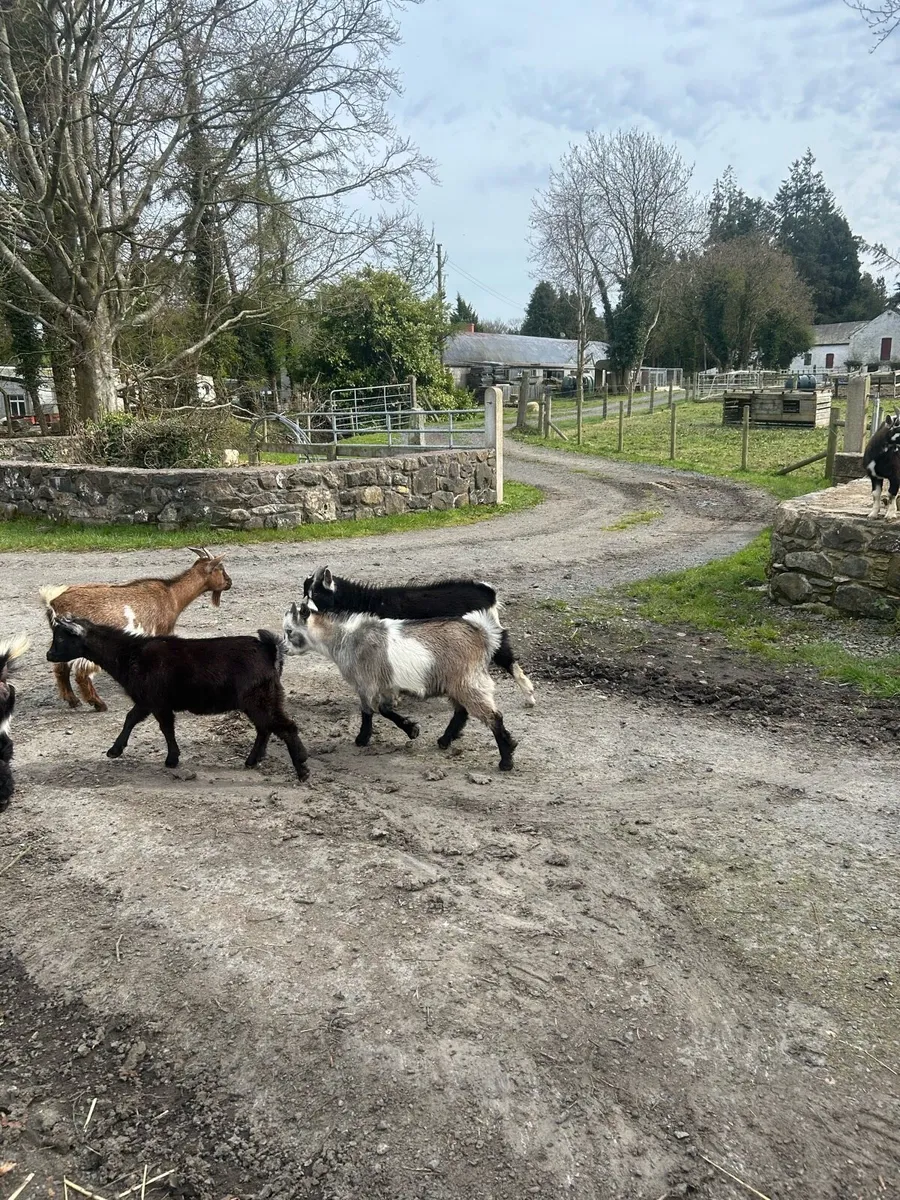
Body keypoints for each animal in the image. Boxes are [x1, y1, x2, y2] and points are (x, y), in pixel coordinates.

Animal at [40, 547, 232, 712]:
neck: (172, 595)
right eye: (220, 568)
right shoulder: (161, 630)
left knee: (61, 668)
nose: (229, 582)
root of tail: (54, 602)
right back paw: (98, 704)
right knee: (80, 674)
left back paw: (73, 700)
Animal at [46, 618, 308, 781]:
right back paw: (253, 760)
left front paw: (171, 758)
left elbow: (165, 728)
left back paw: (302, 768)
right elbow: (131, 719)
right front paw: (115, 750)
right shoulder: (147, 700)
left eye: (61, 639)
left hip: (260, 697)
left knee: (285, 727)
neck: (130, 653)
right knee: (265, 728)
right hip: (258, 700)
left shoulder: (157, 701)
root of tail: (270, 651)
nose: (49, 655)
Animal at [283, 602, 518, 771]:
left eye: (289, 630)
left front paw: (362, 739)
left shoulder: (366, 683)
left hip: (467, 681)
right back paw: (444, 740)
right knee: (461, 711)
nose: (283, 649)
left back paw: (506, 759)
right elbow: (385, 709)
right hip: (457, 682)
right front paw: (411, 729)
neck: (346, 638)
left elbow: (369, 710)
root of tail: (481, 633)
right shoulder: (387, 686)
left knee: (492, 716)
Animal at [302, 566, 535, 708]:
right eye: (305, 593)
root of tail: (487, 593)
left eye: (317, 594)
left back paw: (529, 695)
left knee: (508, 660)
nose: (304, 609)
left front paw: (393, 699)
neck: (370, 602)